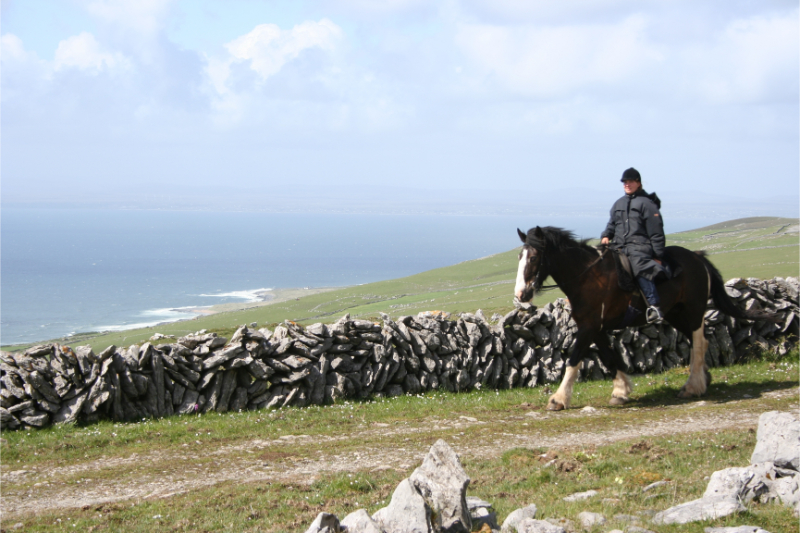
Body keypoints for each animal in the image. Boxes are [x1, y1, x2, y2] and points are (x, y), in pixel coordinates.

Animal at [516, 227, 772, 410]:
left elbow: (574, 359)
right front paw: (621, 391)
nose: (521, 295)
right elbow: (610, 358)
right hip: (676, 314)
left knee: (699, 343)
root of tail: (698, 259)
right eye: (519, 257)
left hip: (693, 312)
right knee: (700, 341)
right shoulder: (595, 328)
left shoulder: (589, 328)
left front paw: (558, 399)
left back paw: (693, 387)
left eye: (534, 258)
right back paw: (704, 379)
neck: (588, 277)